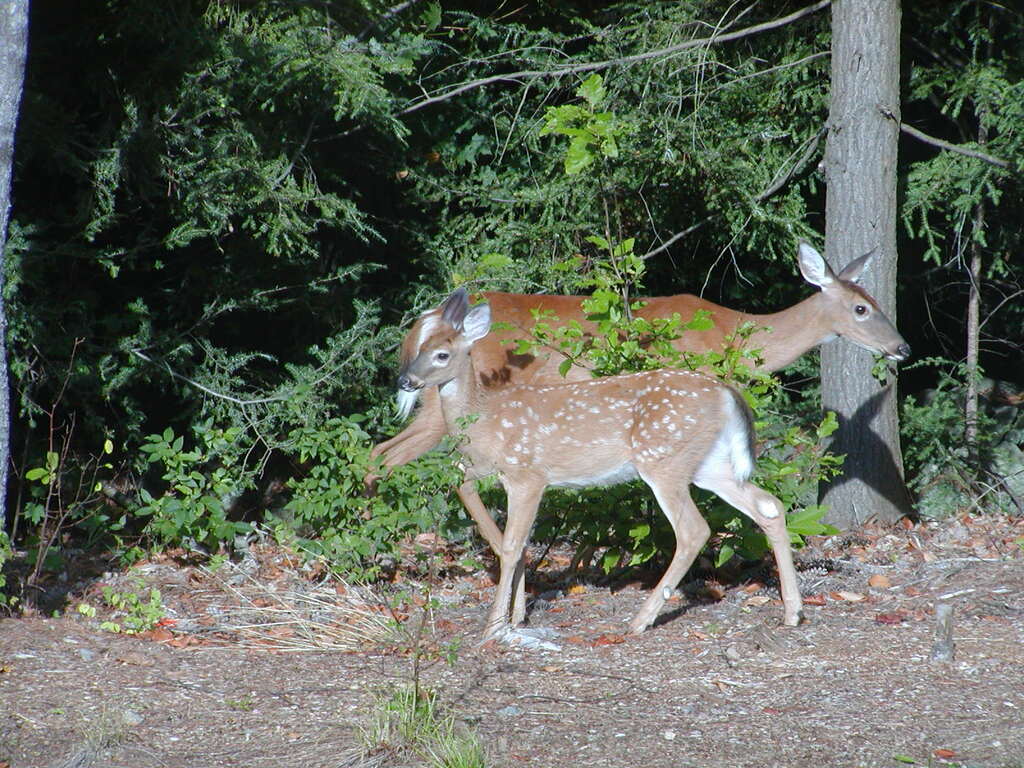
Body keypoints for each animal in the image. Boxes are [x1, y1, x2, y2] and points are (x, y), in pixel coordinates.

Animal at [372, 242, 911, 569]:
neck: (737, 333)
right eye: (862, 308)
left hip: (433, 404)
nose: (902, 348)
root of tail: (424, 322)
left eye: (879, 302)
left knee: (384, 453)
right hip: (451, 404)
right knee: (407, 460)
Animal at [397, 288, 803, 641]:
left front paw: (494, 627)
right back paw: (793, 612)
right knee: (768, 506)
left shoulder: (527, 474)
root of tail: (726, 393)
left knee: (693, 529)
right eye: (418, 348)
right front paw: (514, 616)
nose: (405, 380)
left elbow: (513, 544)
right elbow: (511, 534)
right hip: (709, 464)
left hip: (663, 459)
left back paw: (640, 620)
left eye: (441, 355)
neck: (485, 419)